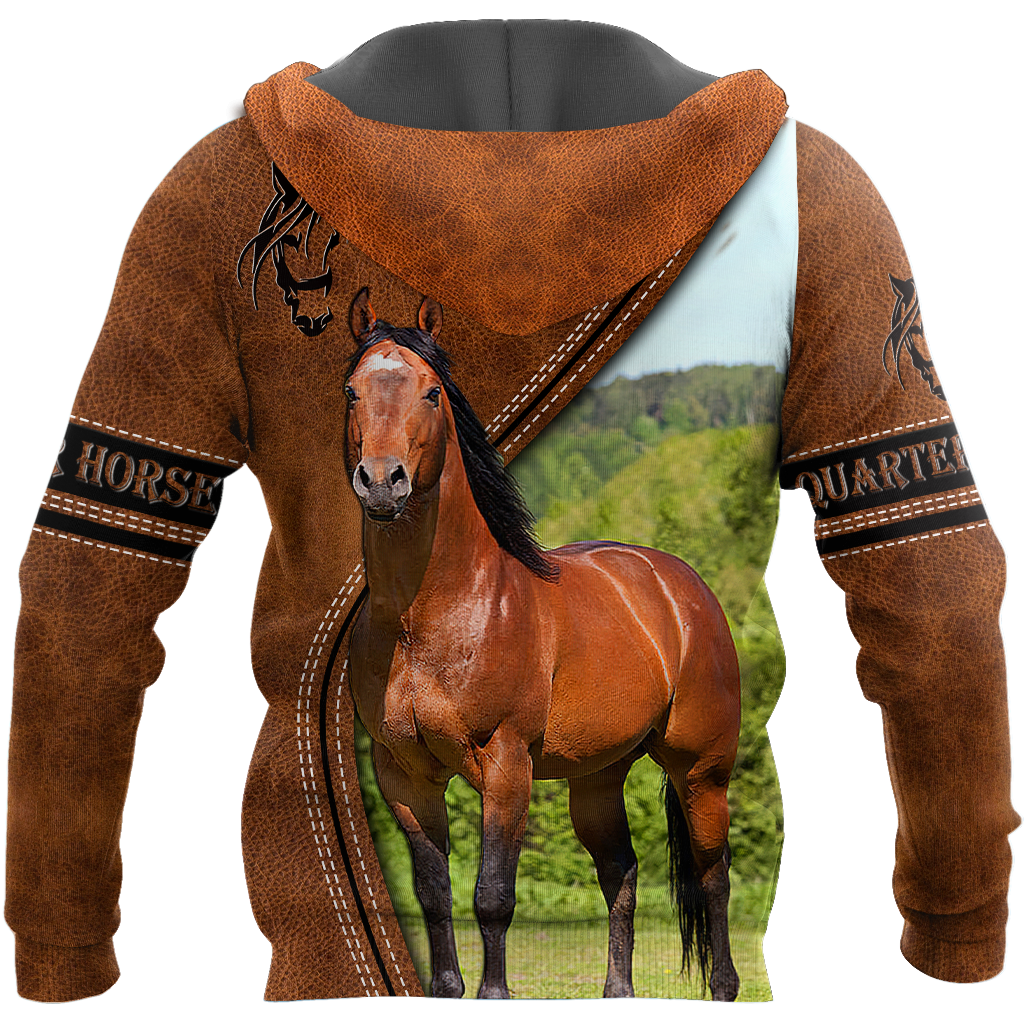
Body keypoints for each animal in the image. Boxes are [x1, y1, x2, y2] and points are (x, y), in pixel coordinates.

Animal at [343, 286, 742, 1000]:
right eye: (351, 391)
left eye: (432, 392)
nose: (382, 481)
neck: (428, 617)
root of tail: (681, 585)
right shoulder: (404, 777)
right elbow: (434, 895)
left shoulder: (506, 765)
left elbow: (493, 895)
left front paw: (494, 994)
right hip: (598, 777)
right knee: (622, 872)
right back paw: (618, 993)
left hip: (702, 770)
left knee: (712, 876)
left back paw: (723, 987)